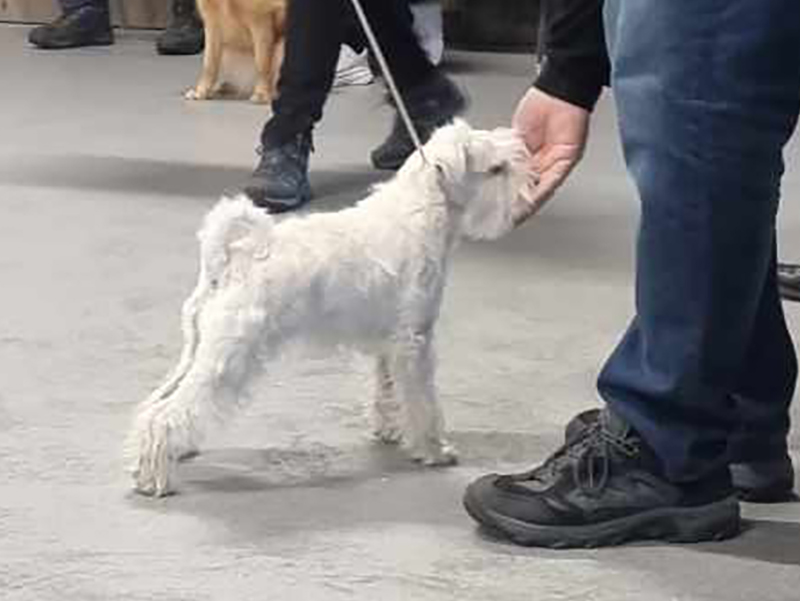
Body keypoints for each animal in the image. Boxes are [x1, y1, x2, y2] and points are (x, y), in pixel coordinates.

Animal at [127, 120, 538, 497]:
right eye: (497, 169)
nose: (531, 187)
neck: (420, 212)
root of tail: (234, 253)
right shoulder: (414, 344)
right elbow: (423, 403)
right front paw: (433, 449)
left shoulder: (389, 347)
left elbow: (388, 392)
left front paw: (389, 430)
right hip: (226, 357)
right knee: (167, 415)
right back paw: (154, 479)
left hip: (200, 351)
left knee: (156, 408)